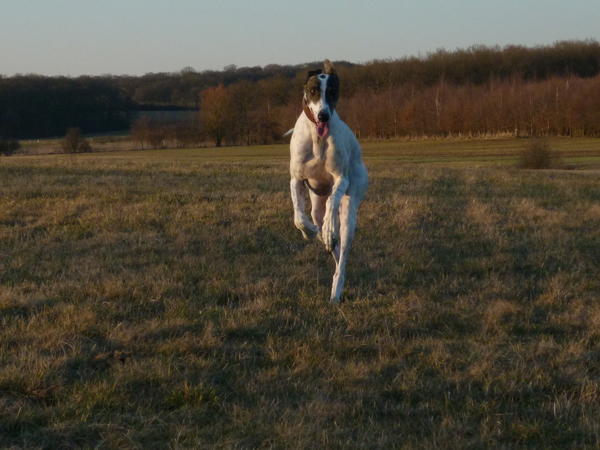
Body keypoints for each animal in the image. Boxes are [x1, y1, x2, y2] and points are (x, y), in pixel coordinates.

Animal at [288, 59, 368, 302]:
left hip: (351, 208)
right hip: (317, 205)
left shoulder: (341, 179)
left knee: (342, 252)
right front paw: (309, 231)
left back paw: (337, 288)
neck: (317, 137)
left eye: (332, 92)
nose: (324, 115)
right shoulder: (296, 179)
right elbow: (299, 216)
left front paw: (327, 229)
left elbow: (334, 200)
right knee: (329, 238)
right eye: (313, 90)